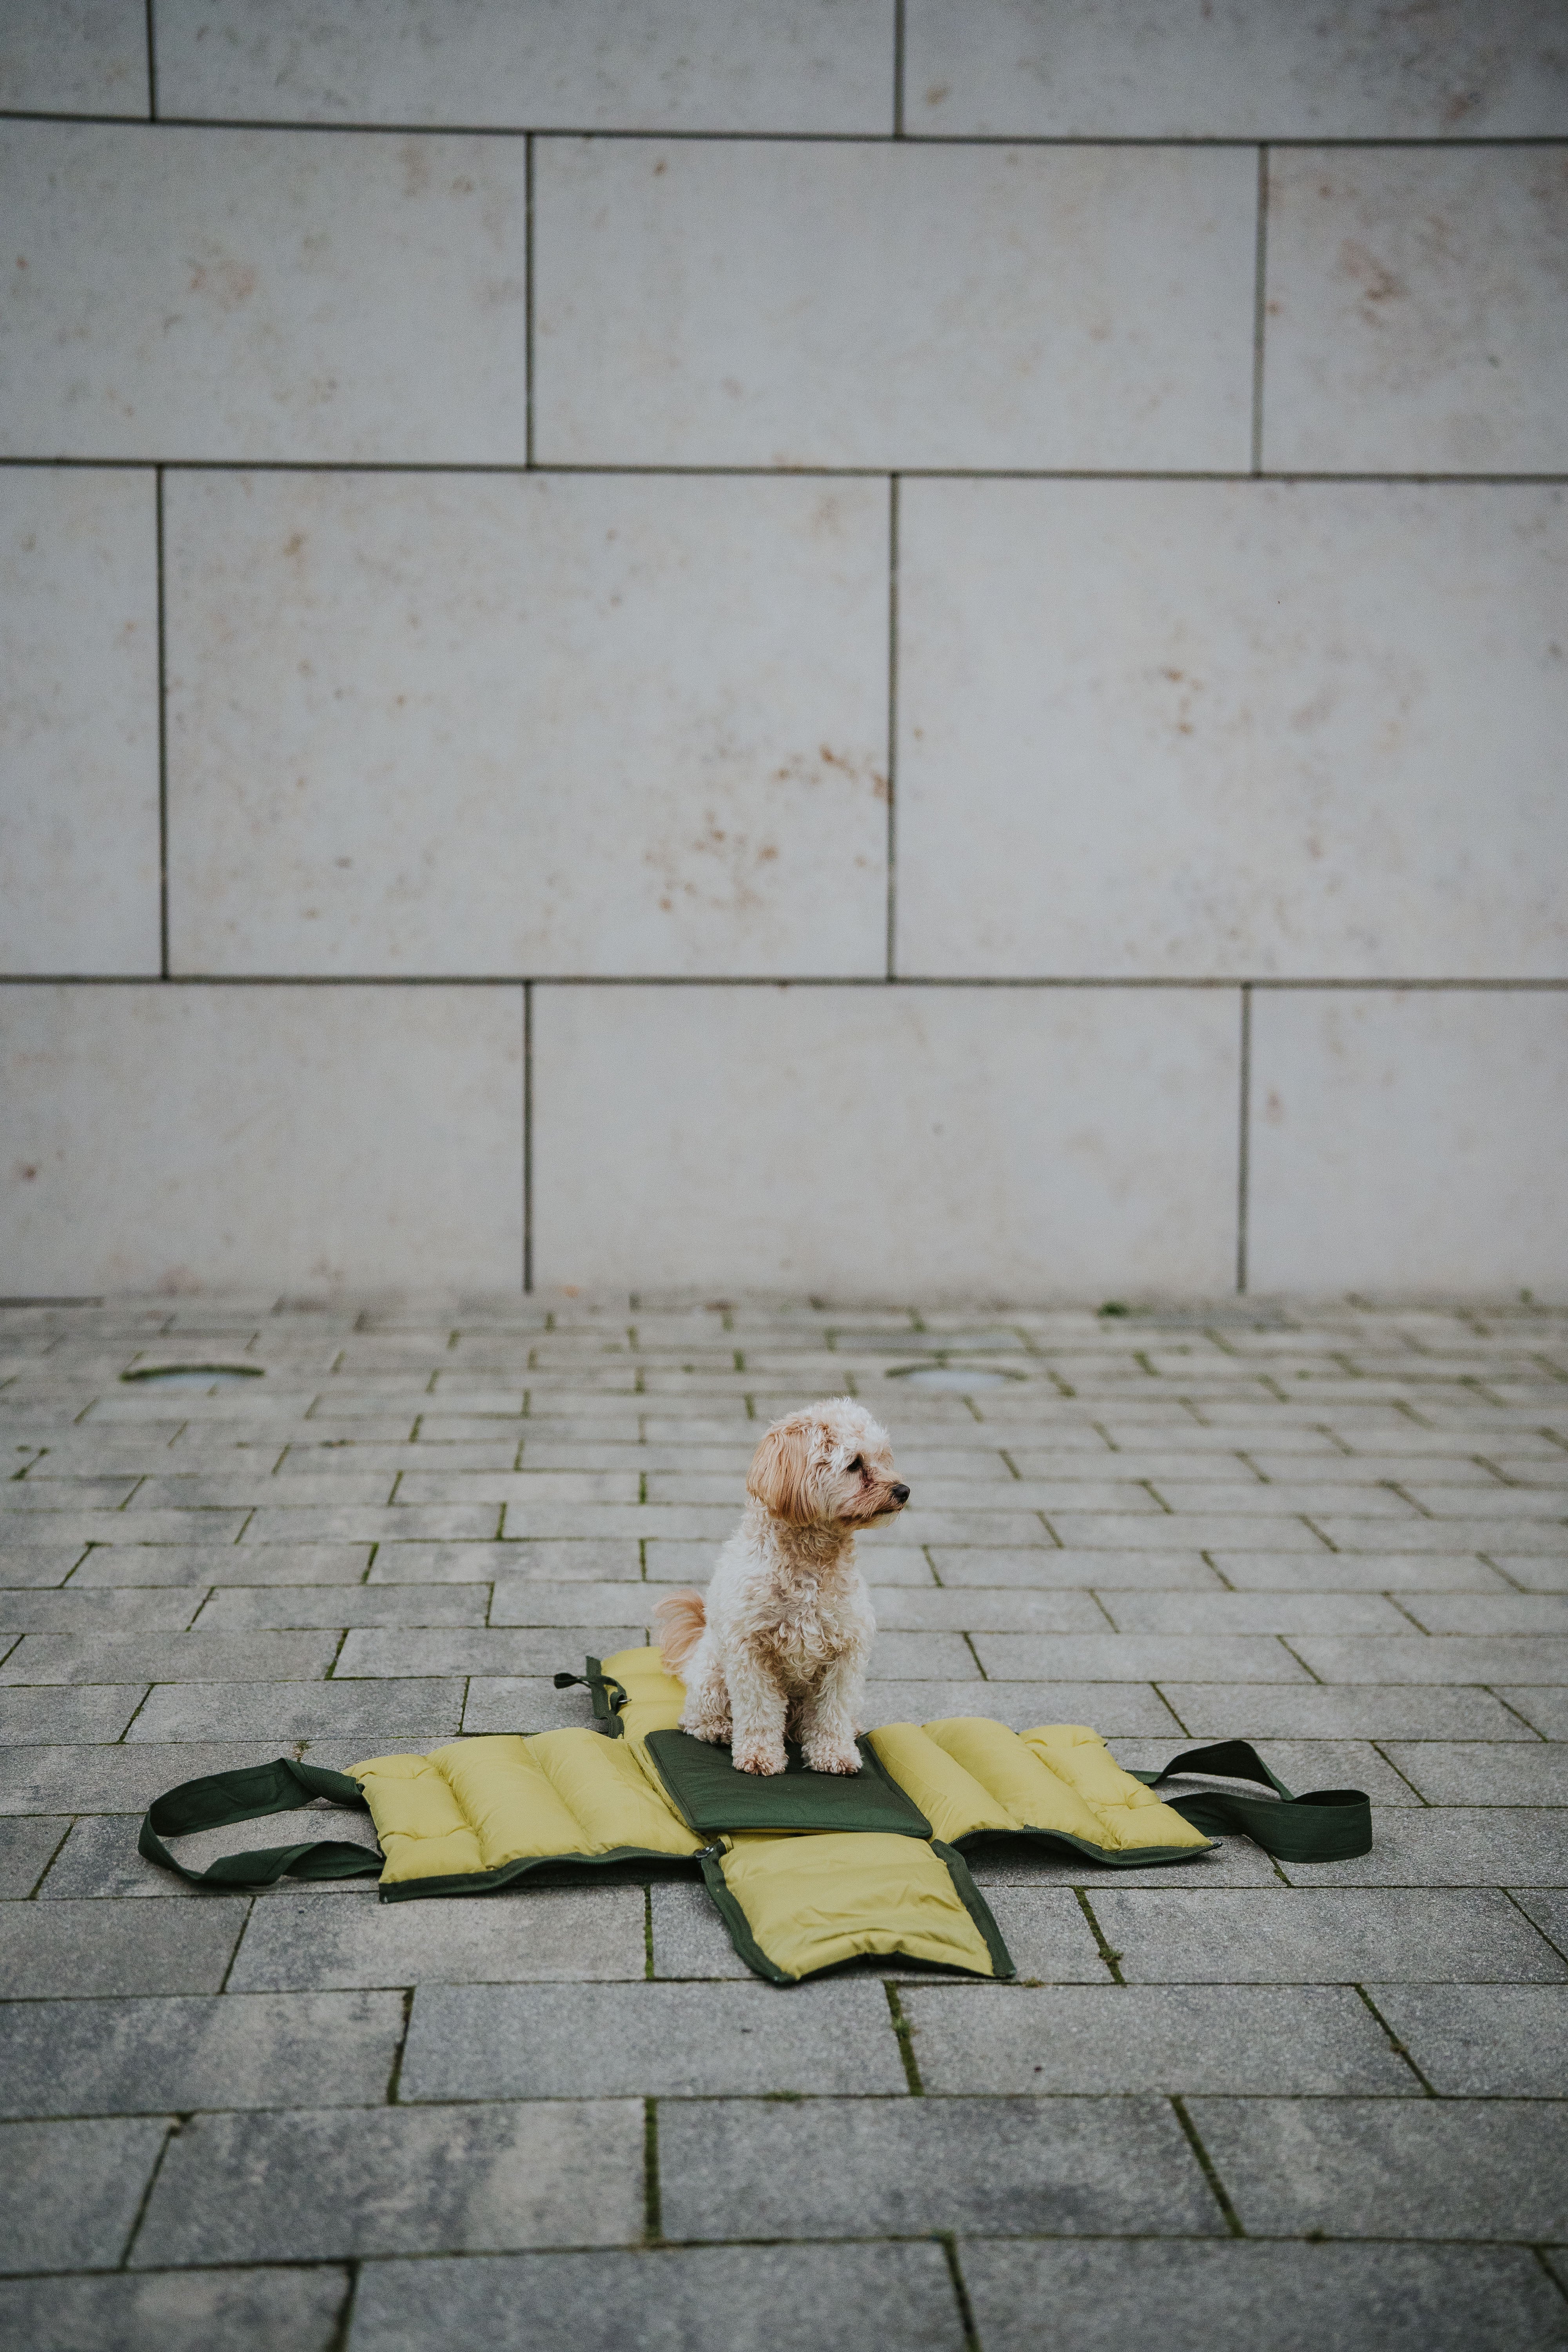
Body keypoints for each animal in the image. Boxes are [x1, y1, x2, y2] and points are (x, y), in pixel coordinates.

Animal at [649, 1402, 907, 1769]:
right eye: (855, 1464)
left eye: (884, 1458)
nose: (904, 1491)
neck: (810, 1561)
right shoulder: (751, 1653)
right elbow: (759, 1711)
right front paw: (759, 1755)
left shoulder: (845, 1655)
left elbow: (833, 1712)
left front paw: (835, 1754)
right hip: (713, 1676)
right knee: (695, 1718)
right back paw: (718, 1729)